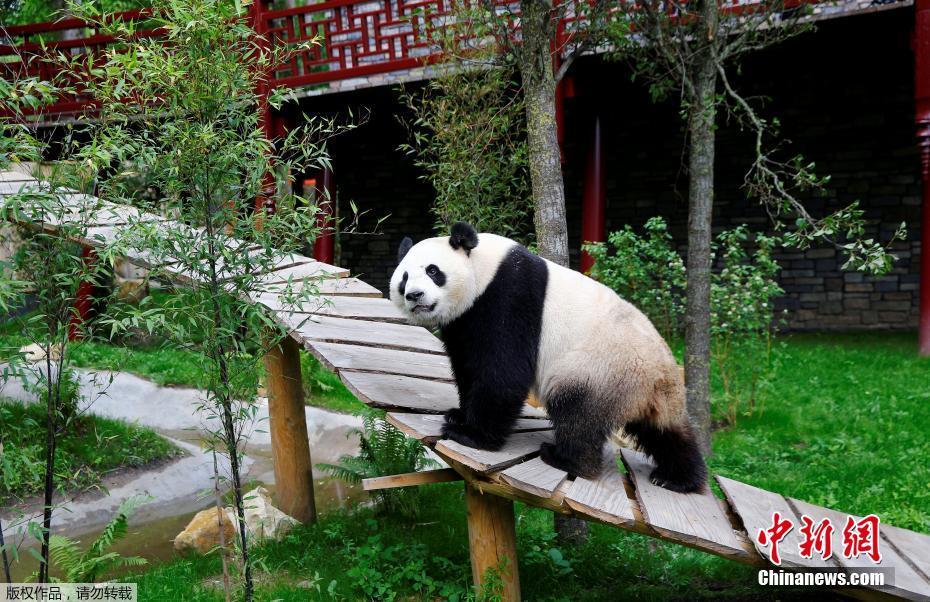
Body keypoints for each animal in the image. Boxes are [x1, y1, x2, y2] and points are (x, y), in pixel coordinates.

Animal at [389, 222, 706, 493]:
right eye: (404, 278)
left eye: (433, 271)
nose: (414, 296)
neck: (482, 268)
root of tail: (659, 375)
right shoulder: (463, 321)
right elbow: (467, 364)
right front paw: (459, 414)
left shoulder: (509, 296)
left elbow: (503, 372)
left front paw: (470, 435)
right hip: (649, 392)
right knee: (665, 432)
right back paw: (678, 478)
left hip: (599, 368)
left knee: (578, 413)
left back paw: (565, 458)